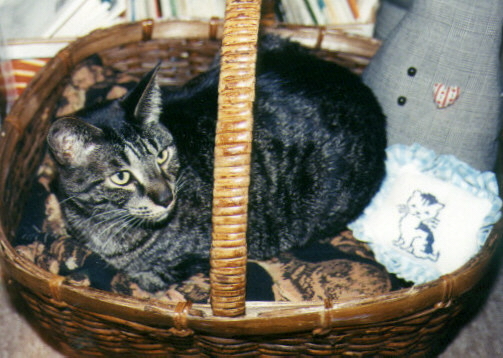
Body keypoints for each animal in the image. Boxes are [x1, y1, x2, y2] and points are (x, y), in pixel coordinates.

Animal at [47, 35, 386, 290]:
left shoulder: (177, 265)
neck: (97, 223)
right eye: (121, 177)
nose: (166, 197)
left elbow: (136, 274)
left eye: (162, 155)